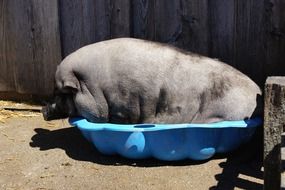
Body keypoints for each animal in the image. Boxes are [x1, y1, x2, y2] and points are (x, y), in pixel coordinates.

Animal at [41, 37, 260, 124]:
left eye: (62, 93)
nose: (43, 110)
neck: (95, 88)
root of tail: (257, 92)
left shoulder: (124, 104)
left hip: (222, 115)